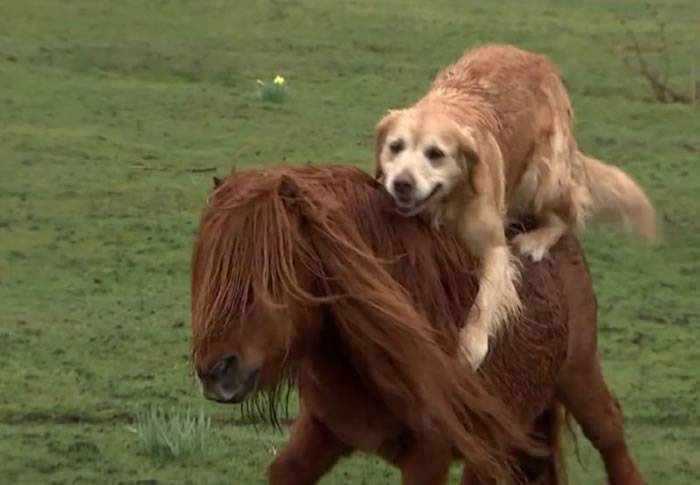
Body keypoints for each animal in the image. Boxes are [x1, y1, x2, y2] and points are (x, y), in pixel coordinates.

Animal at [187, 164, 644, 482]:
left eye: (269, 280)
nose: (215, 372)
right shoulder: (321, 432)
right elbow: (284, 471)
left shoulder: (430, 456)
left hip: (578, 375)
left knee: (609, 432)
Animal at [378, 43, 656, 366]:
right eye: (395, 147)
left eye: (435, 154)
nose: (402, 183)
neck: (449, 198)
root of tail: (539, 60)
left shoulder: (494, 247)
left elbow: (486, 296)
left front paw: (471, 344)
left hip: (542, 173)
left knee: (569, 212)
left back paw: (536, 240)